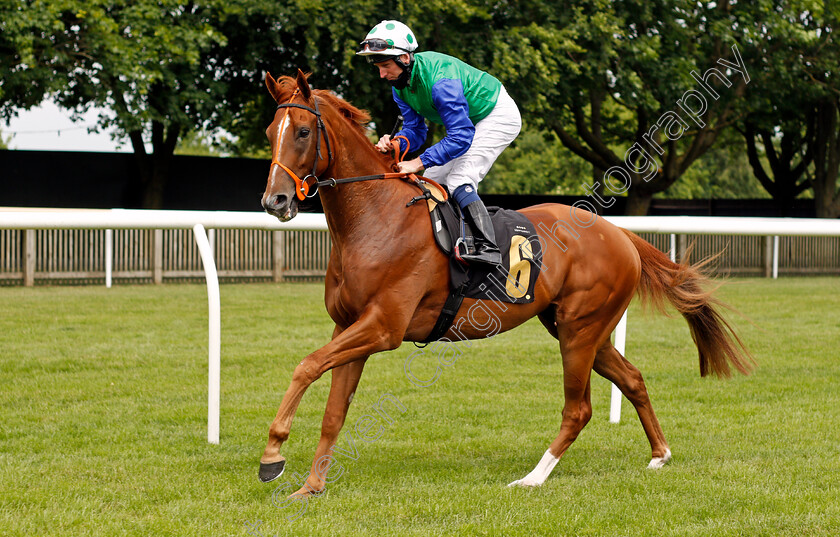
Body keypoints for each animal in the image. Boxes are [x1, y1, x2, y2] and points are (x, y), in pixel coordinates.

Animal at [258, 71, 756, 494]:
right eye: (269, 132)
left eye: (303, 132)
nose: (274, 200)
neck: (375, 218)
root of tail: (619, 234)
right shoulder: (349, 326)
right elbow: (333, 409)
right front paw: (311, 486)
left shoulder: (383, 327)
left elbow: (305, 366)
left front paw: (273, 455)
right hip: (579, 328)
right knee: (632, 378)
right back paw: (659, 454)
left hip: (580, 330)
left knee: (578, 408)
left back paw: (533, 477)